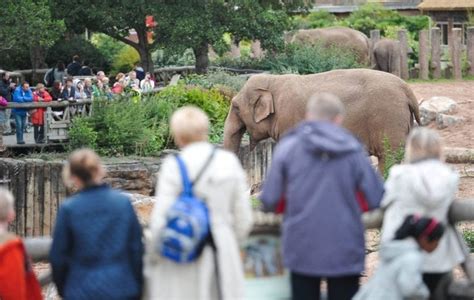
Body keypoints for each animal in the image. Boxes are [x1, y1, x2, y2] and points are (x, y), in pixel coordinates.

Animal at [224, 68, 420, 171]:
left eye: (235, 107)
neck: (273, 81)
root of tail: (407, 89)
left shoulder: (289, 118)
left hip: (389, 118)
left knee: (388, 157)